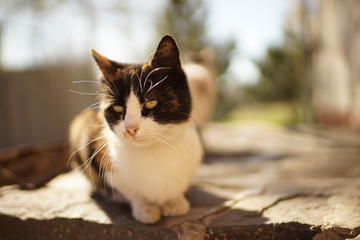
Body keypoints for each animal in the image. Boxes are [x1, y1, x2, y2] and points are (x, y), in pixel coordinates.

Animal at [68, 35, 202, 225]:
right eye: (117, 108)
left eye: (151, 102)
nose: (131, 128)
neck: (154, 151)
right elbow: (133, 192)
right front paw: (145, 208)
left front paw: (174, 202)